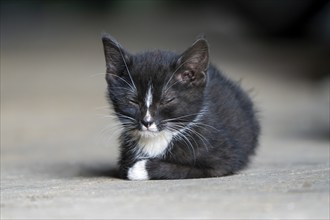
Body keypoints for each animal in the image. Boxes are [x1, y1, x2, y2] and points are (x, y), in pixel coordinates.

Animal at [102, 33, 260, 180]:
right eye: (133, 100)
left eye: (167, 100)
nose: (147, 122)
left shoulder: (222, 161)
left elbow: (182, 170)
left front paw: (139, 169)